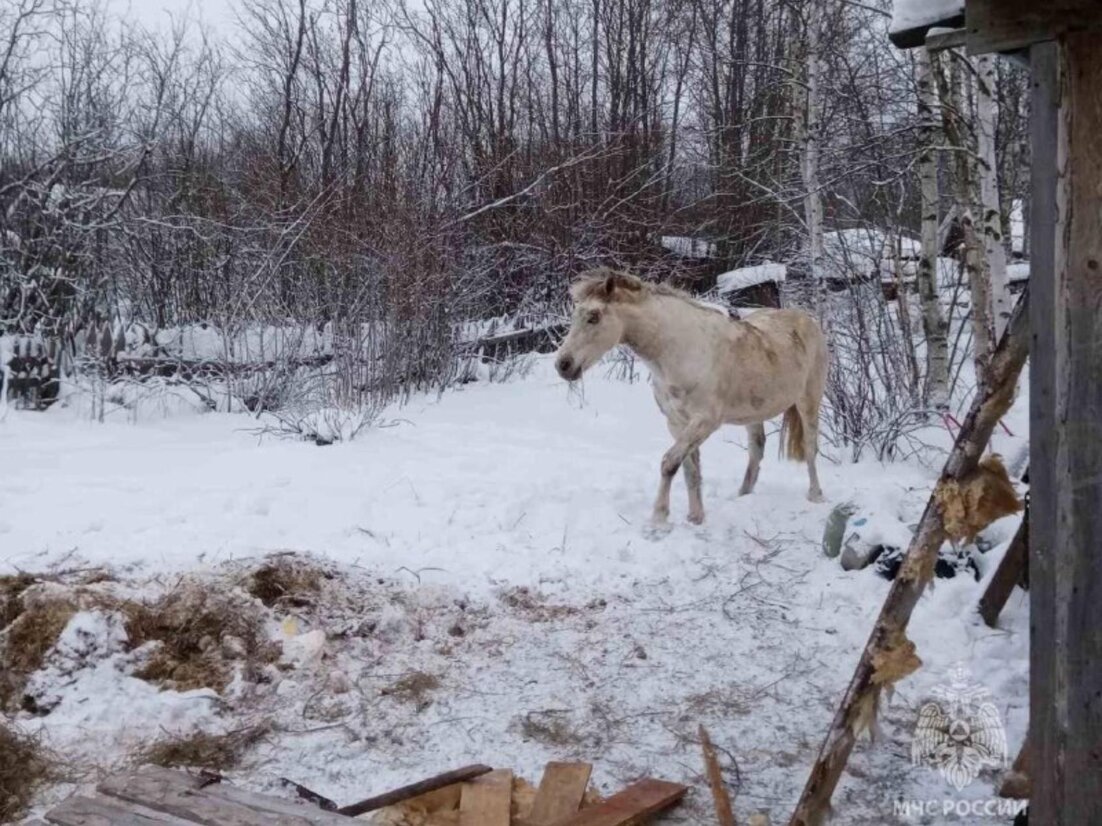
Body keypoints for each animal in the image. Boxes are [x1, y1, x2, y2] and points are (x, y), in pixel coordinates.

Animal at [559, 268, 828, 526]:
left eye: (594, 317)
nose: (563, 365)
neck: (682, 350)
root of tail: (807, 320)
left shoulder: (704, 421)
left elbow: (669, 463)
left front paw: (658, 519)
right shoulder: (677, 423)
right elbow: (690, 470)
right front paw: (695, 517)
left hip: (809, 400)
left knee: (809, 447)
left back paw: (815, 495)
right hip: (754, 412)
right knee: (756, 450)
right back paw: (742, 495)